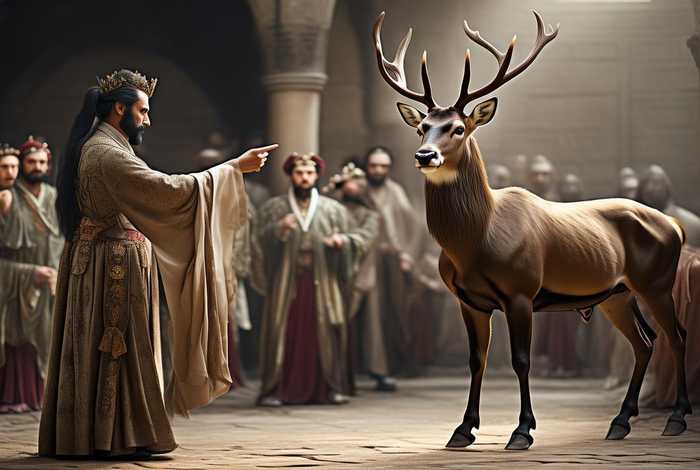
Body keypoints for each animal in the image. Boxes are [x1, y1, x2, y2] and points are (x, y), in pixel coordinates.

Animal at [373, 10, 691, 451]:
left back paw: (676, 418)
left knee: (676, 335)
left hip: (657, 281)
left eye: (458, 128)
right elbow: (477, 359)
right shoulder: (467, 300)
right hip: (617, 294)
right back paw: (620, 422)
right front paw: (462, 430)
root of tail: (675, 225)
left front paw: (522, 431)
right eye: (421, 127)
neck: (474, 244)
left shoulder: (521, 291)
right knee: (644, 343)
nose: (424, 155)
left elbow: (521, 360)